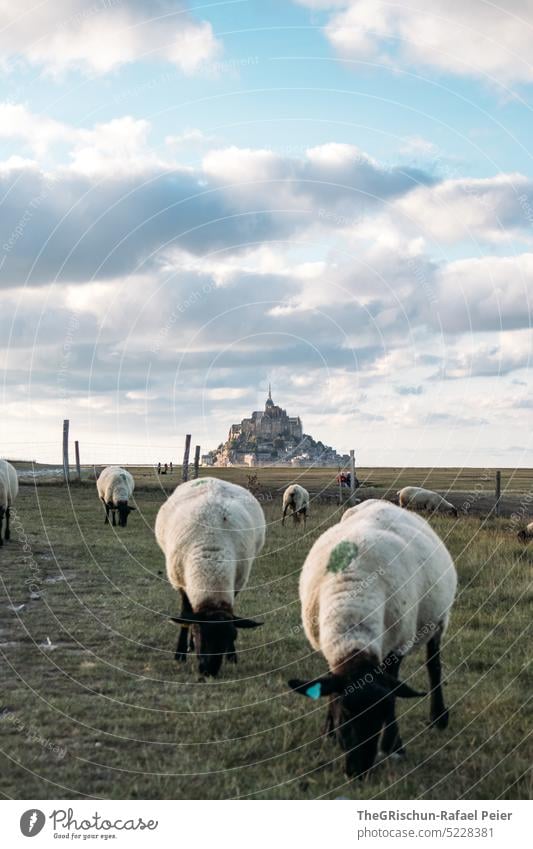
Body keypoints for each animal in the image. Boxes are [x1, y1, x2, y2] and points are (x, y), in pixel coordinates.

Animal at [156, 476, 268, 676]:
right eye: (200, 633)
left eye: (232, 636)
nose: (209, 672)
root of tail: (211, 479)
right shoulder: (181, 582)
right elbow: (185, 617)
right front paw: (180, 655)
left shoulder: (237, 582)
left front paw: (232, 656)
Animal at [286, 496, 458, 780]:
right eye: (345, 713)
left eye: (382, 714)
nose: (359, 771)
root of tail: (381, 502)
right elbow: (329, 684)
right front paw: (328, 731)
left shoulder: (397, 646)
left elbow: (395, 687)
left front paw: (394, 746)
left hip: (438, 621)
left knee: (434, 666)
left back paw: (439, 717)